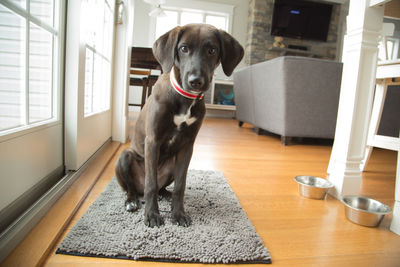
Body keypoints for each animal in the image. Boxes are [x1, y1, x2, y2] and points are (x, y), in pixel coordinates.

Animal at [114, 24, 242, 227]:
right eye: (183, 48)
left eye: (212, 50)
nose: (196, 81)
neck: (185, 98)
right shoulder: (153, 140)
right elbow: (151, 183)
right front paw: (152, 214)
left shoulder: (187, 145)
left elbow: (180, 186)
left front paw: (178, 213)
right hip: (125, 157)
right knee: (135, 187)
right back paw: (132, 201)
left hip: (172, 165)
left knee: (162, 187)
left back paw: (165, 195)